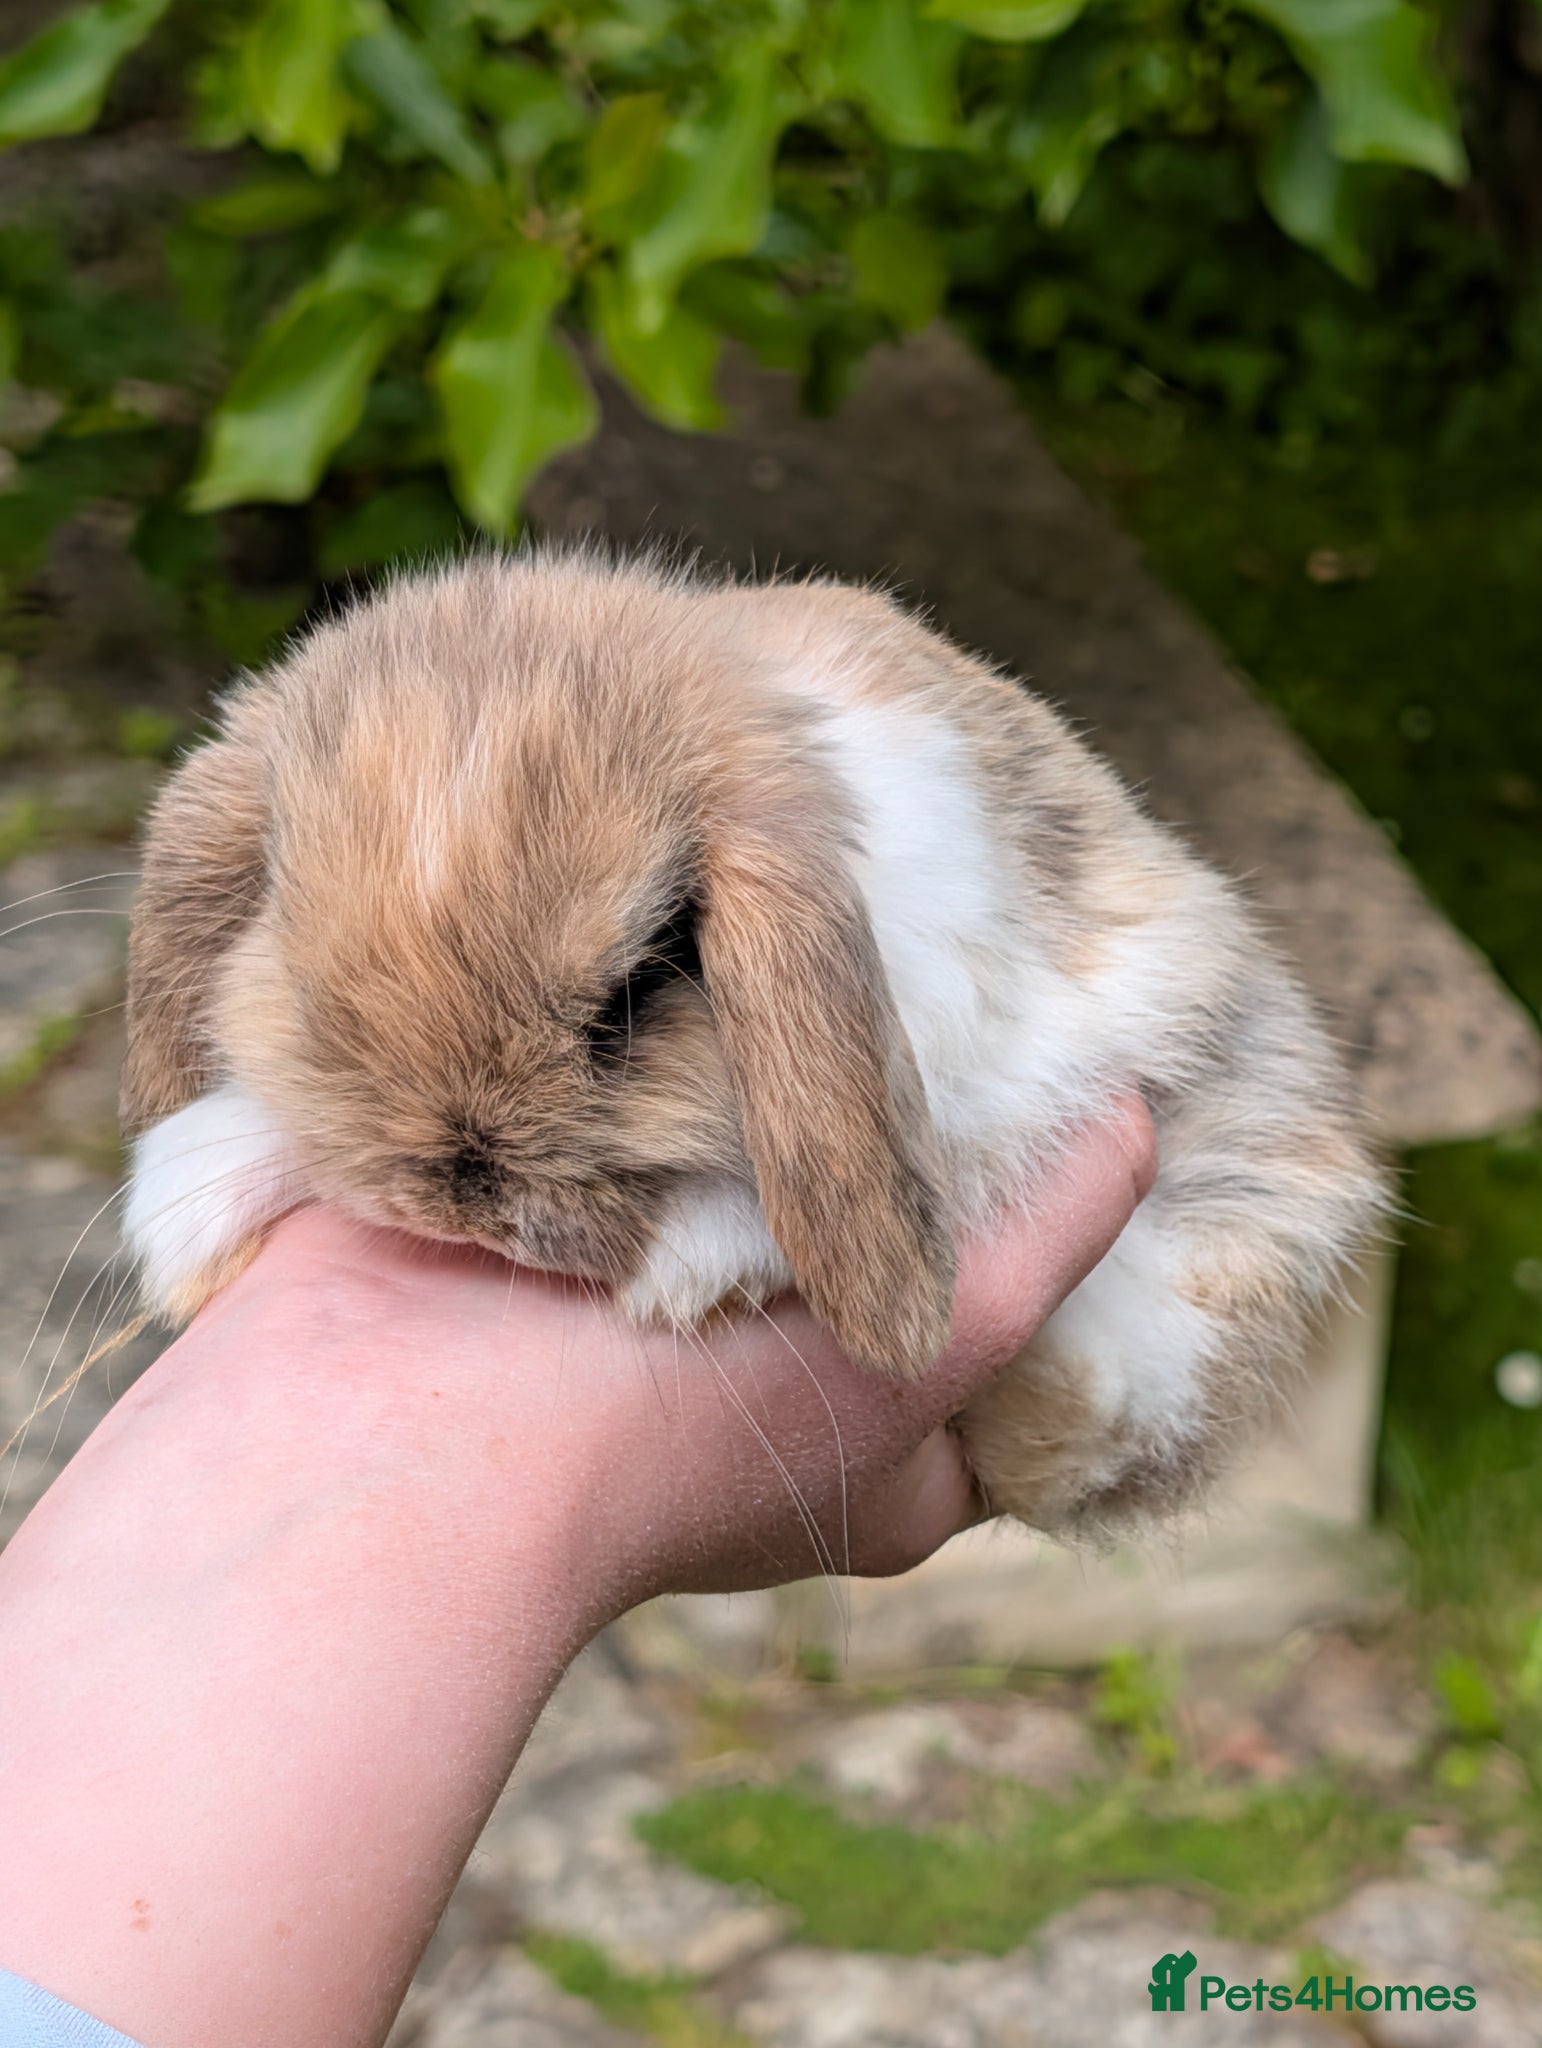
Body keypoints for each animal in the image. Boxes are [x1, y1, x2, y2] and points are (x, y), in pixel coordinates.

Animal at [120, 547, 1387, 1539]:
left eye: (638, 988)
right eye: (295, 968)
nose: (459, 1200)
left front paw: (693, 1260)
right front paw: (198, 1189)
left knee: (1114, 1407)